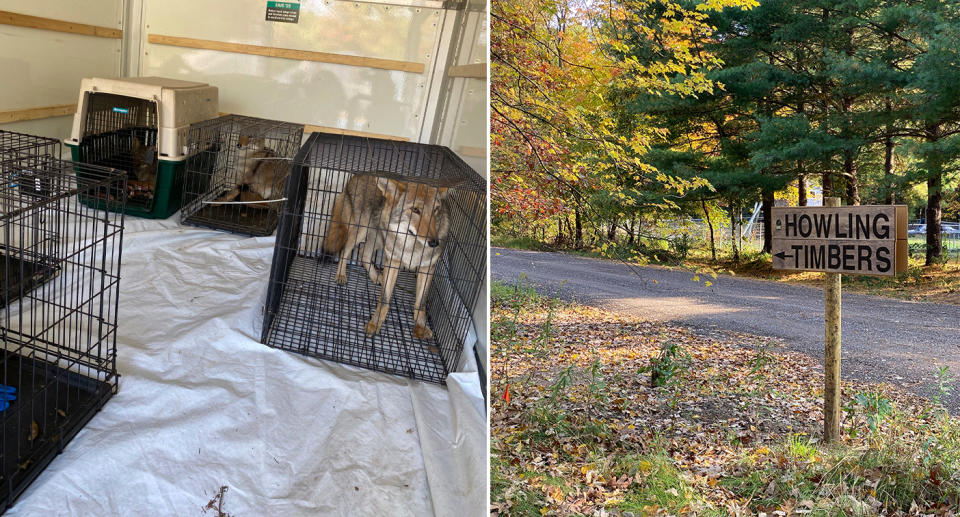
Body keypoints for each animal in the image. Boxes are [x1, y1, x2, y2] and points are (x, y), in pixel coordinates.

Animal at [324, 173, 452, 340]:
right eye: (415, 210)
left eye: (436, 210)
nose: (434, 243)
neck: (412, 247)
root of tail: (356, 175)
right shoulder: (393, 262)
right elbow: (384, 299)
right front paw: (375, 323)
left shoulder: (427, 268)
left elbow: (421, 303)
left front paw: (421, 326)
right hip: (360, 233)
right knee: (345, 251)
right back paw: (341, 275)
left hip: (377, 239)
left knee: (363, 253)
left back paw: (376, 276)